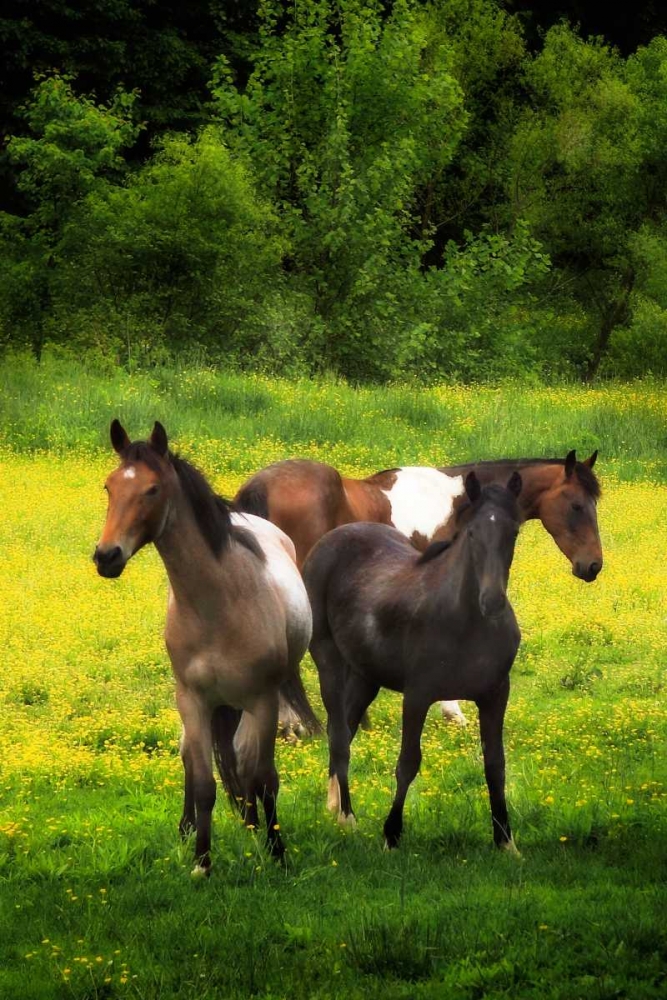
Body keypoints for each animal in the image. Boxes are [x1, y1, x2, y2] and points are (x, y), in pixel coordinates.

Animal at [92, 422, 318, 876]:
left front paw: (277, 851)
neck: (219, 602)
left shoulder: (263, 701)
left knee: (247, 764)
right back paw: (190, 830)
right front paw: (201, 862)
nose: (106, 555)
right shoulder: (193, 701)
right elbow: (203, 783)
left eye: (152, 489)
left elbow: (264, 777)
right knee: (201, 759)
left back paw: (256, 829)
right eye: (110, 486)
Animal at [304, 470, 528, 852]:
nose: (492, 601)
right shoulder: (418, 695)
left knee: (347, 727)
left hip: (366, 676)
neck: (465, 623)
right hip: (328, 661)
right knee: (338, 734)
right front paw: (391, 835)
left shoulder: (496, 694)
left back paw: (334, 806)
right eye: (471, 533)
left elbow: (495, 765)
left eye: (513, 532)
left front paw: (505, 842)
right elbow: (408, 762)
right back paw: (347, 816)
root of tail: (328, 541)